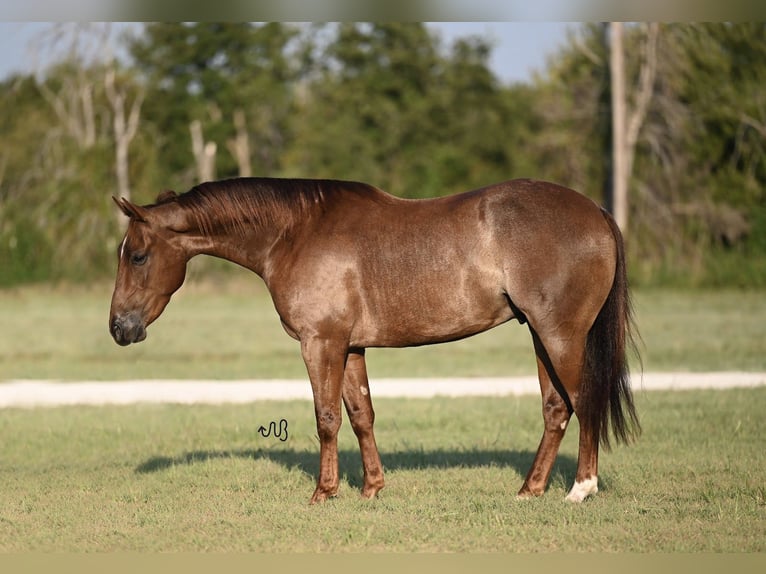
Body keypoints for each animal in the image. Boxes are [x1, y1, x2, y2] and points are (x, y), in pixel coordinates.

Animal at [109, 178, 640, 506]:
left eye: (137, 256)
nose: (118, 328)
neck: (294, 232)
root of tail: (595, 212)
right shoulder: (349, 347)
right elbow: (361, 414)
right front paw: (371, 488)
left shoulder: (320, 342)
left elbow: (326, 418)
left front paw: (324, 493)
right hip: (539, 335)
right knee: (556, 408)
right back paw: (530, 489)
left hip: (559, 335)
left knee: (584, 402)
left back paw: (581, 489)